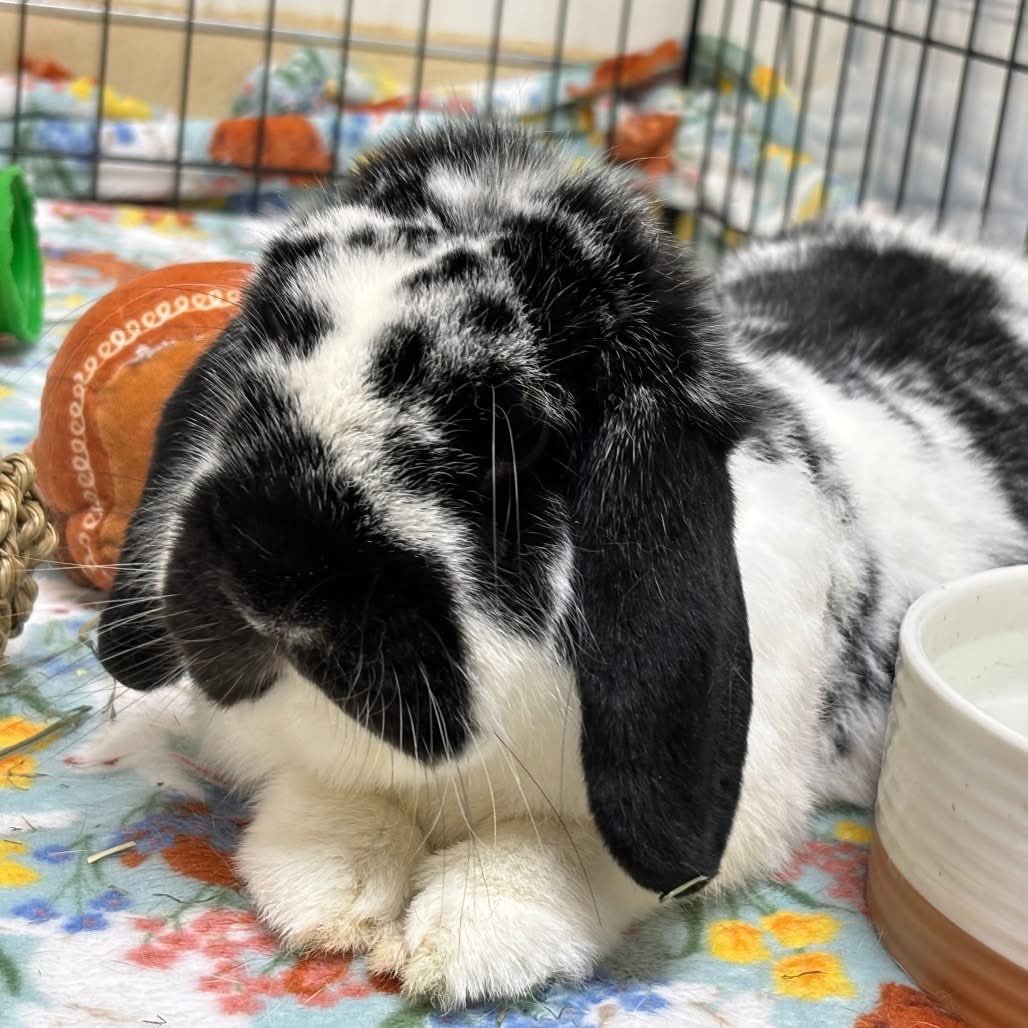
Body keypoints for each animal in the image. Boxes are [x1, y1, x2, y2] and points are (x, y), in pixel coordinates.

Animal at [95, 122, 1028, 1007]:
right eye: (254, 368)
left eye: (513, 442)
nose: (268, 565)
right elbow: (332, 792)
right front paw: (329, 891)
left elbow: (566, 849)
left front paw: (467, 939)